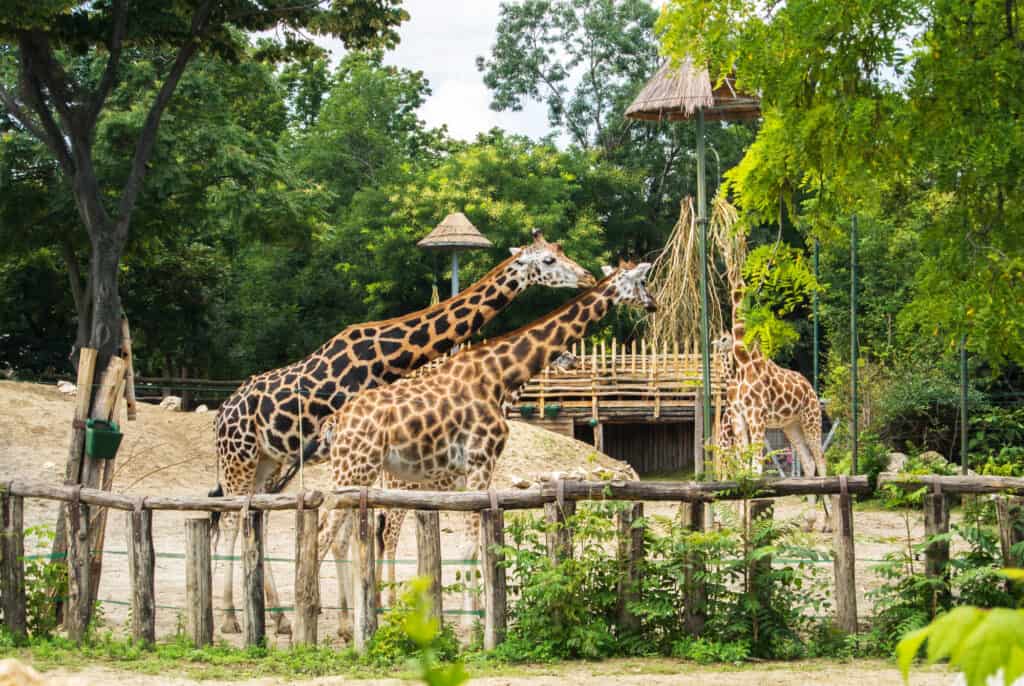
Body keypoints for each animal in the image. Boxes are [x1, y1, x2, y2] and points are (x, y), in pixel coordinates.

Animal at [378, 350, 585, 614]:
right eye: (562, 354)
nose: (575, 360)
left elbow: (473, 545)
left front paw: (476, 603)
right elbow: (473, 544)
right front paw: (478, 607)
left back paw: (379, 598)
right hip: (400, 489)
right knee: (388, 535)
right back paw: (391, 601)